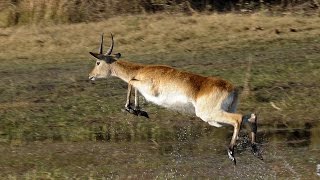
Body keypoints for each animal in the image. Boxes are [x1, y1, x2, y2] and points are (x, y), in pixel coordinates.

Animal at [88, 33, 262, 165]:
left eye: (97, 62)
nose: (90, 76)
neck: (141, 70)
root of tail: (232, 88)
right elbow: (134, 87)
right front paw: (139, 111)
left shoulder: (147, 87)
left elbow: (131, 82)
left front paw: (132, 109)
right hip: (220, 115)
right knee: (250, 117)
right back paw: (255, 151)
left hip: (210, 115)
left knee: (238, 119)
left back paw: (232, 153)